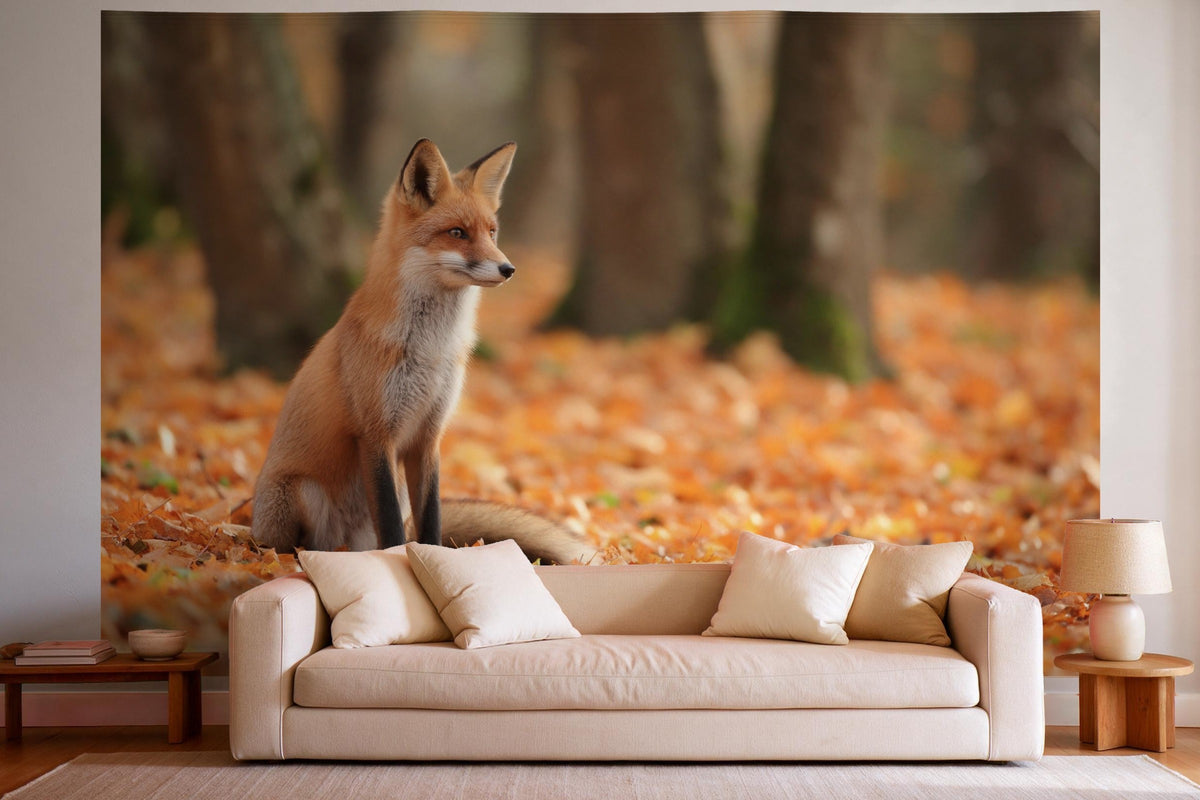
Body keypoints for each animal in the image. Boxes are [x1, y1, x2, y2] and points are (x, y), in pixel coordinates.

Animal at [251, 139, 592, 565]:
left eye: (492, 232)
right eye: (457, 232)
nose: (508, 268)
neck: (431, 350)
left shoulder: (429, 436)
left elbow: (431, 519)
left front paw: (432, 558)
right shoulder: (376, 434)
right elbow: (393, 528)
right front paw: (399, 561)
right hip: (304, 494)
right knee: (300, 546)